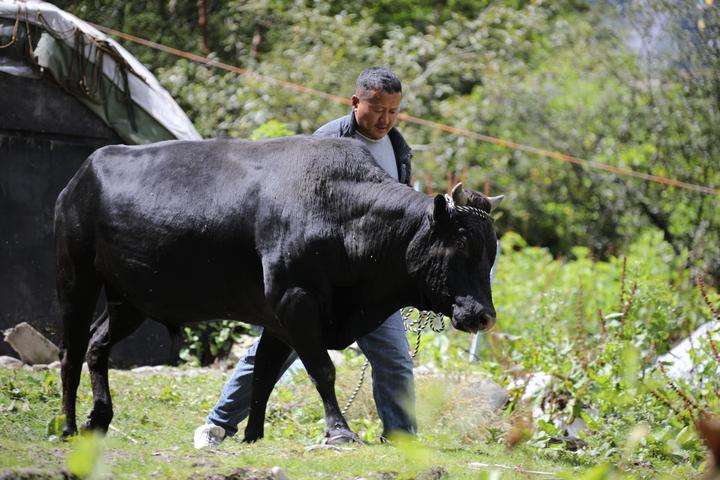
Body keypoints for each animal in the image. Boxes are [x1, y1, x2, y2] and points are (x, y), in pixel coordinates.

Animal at [54, 135, 500, 442]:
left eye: (491, 252)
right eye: (462, 247)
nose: (485, 316)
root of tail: (81, 174)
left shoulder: (278, 317)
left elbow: (264, 374)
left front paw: (254, 434)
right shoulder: (294, 301)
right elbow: (321, 369)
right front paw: (339, 430)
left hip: (127, 299)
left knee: (97, 346)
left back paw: (99, 418)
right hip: (76, 278)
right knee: (71, 352)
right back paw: (69, 425)